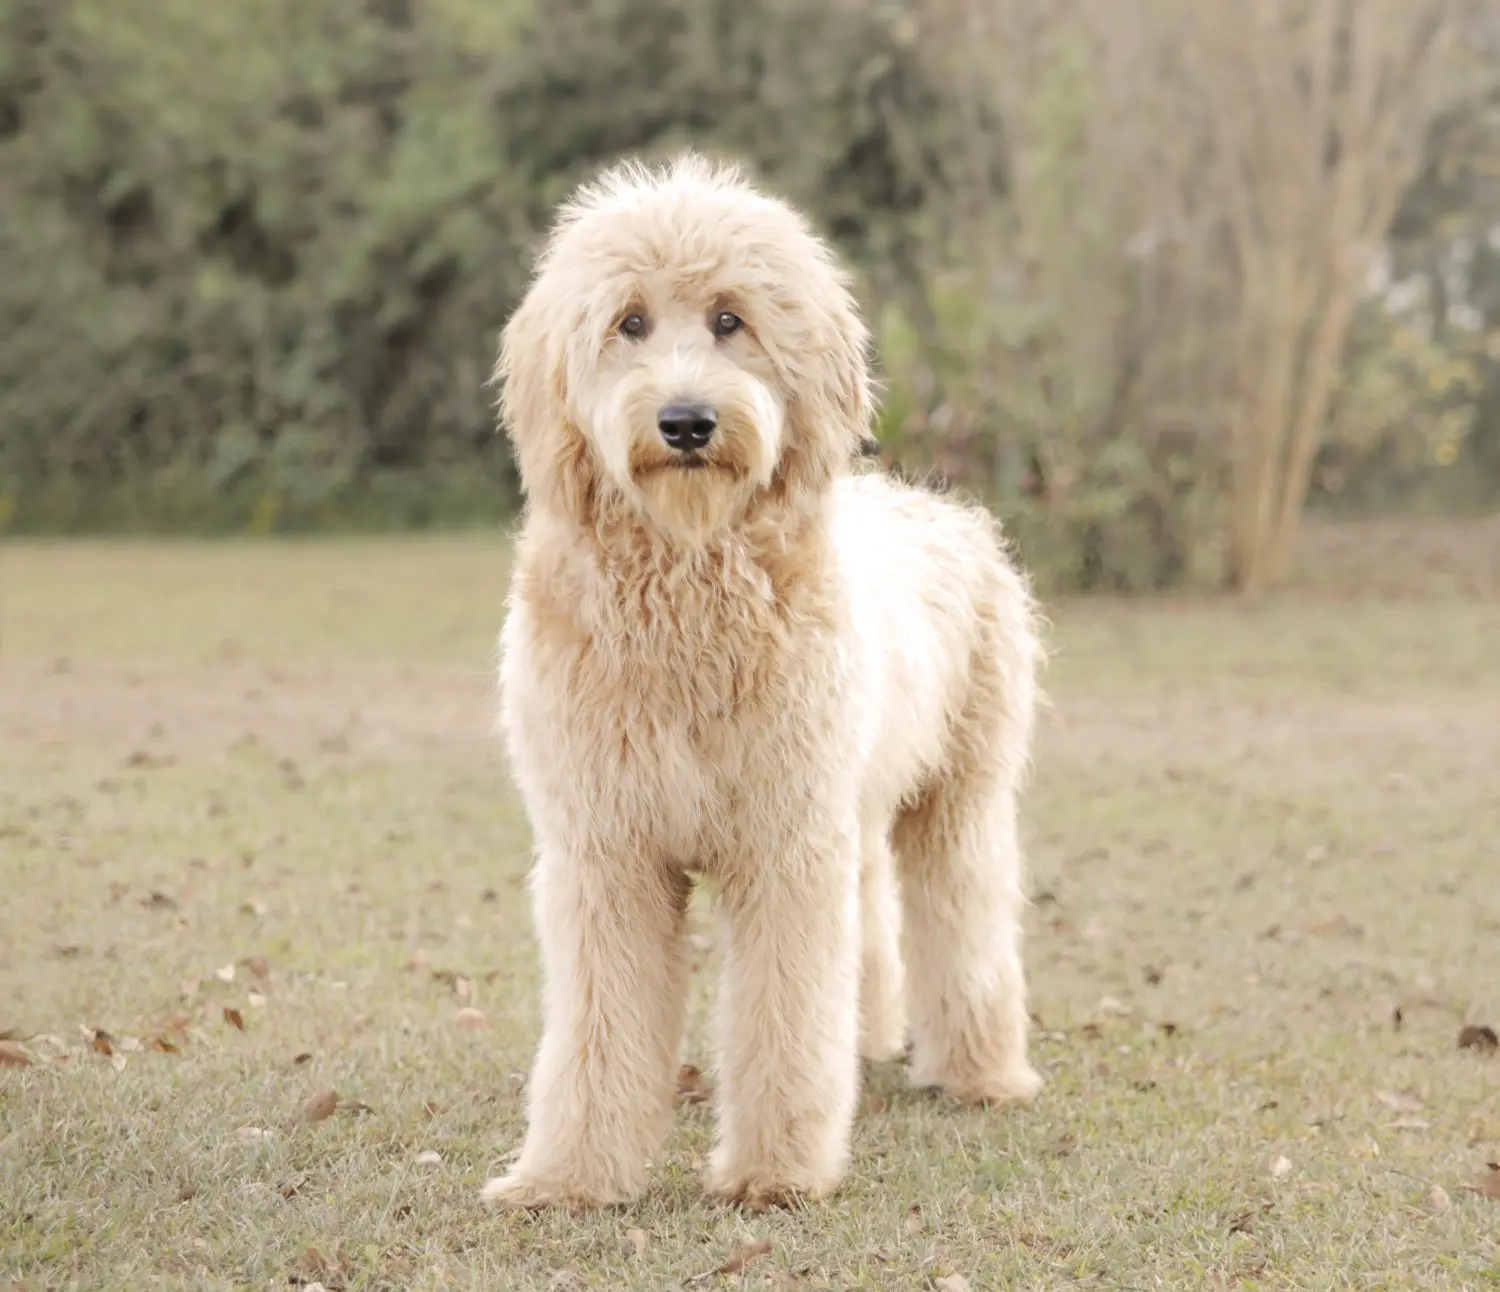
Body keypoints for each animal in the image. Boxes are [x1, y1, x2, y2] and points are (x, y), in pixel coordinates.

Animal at [483, 153, 1044, 1212]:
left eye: (731, 319)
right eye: (629, 322)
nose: (687, 422)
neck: (690, 582)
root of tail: (943, 511)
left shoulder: (785, 842)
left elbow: (786, 1012)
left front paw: (776, 1172)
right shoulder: (607, 851)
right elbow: (598, 1026)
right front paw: (568, 1177)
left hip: (956, 796)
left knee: (964, 920)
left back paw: (983, 1072)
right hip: (852, 798)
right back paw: (871, 1039)